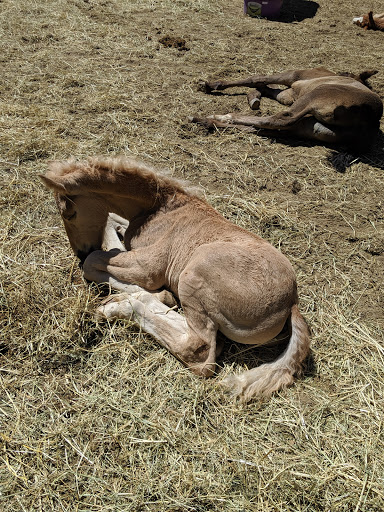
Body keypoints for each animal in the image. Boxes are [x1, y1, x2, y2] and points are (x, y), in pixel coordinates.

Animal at [40, 156, 310, 400]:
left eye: (69, 213)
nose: (80, 251)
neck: (159, 207)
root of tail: (292, 304)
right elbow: (111, 227)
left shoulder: (150, 267)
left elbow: (95, 261)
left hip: (194, 274)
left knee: (200, 350)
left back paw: (119, 307)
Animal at [190, 67, 382, 149]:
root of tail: (368, 118)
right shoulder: (290, 94)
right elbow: (266, 88)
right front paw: (254, 98)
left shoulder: (294, 75)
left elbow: (257, 78)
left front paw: (210, 84)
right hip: (309, 126)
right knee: (268, 127)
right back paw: (208, 122)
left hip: (318, 94)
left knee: (278, 119)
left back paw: (215, 117)